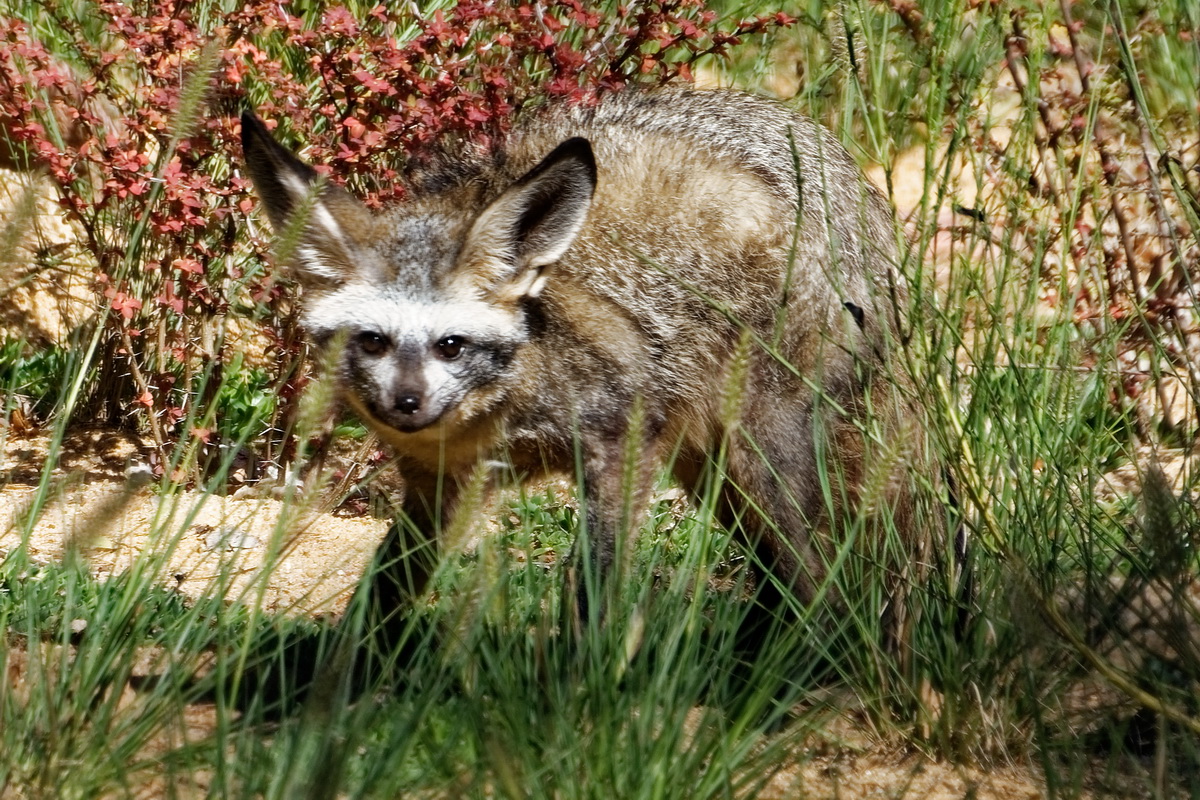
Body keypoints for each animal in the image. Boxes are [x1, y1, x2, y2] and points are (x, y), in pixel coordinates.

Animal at [236, 87, 926, 633]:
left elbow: (596, 583)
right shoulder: (436, 492)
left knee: (819, 579)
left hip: (757, 455)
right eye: (373, 341)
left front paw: (581, 684)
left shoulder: (622, 443)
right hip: (714, 473)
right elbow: (381, 595)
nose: (406, 404)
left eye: (450, 345)